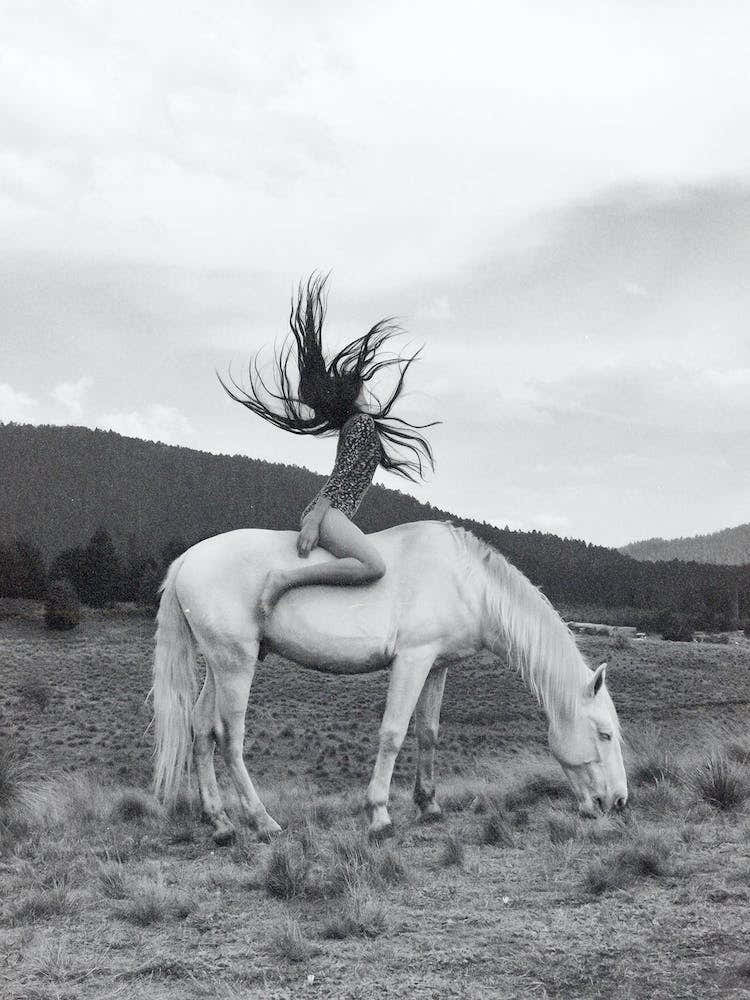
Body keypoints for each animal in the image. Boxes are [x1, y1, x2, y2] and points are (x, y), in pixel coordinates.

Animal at [152, 520, 627, 843]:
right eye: (604, 734)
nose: (618, 802)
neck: (467, 581)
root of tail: (188, 559)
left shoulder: (436, 665)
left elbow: (428, 732)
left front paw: (429, 804)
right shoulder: (412, 660)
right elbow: (393, 734)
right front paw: (379, 815)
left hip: (219, 666)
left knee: (201, 729)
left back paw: (220, 823)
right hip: (236, 665)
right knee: (229, 738)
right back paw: (262, 821)